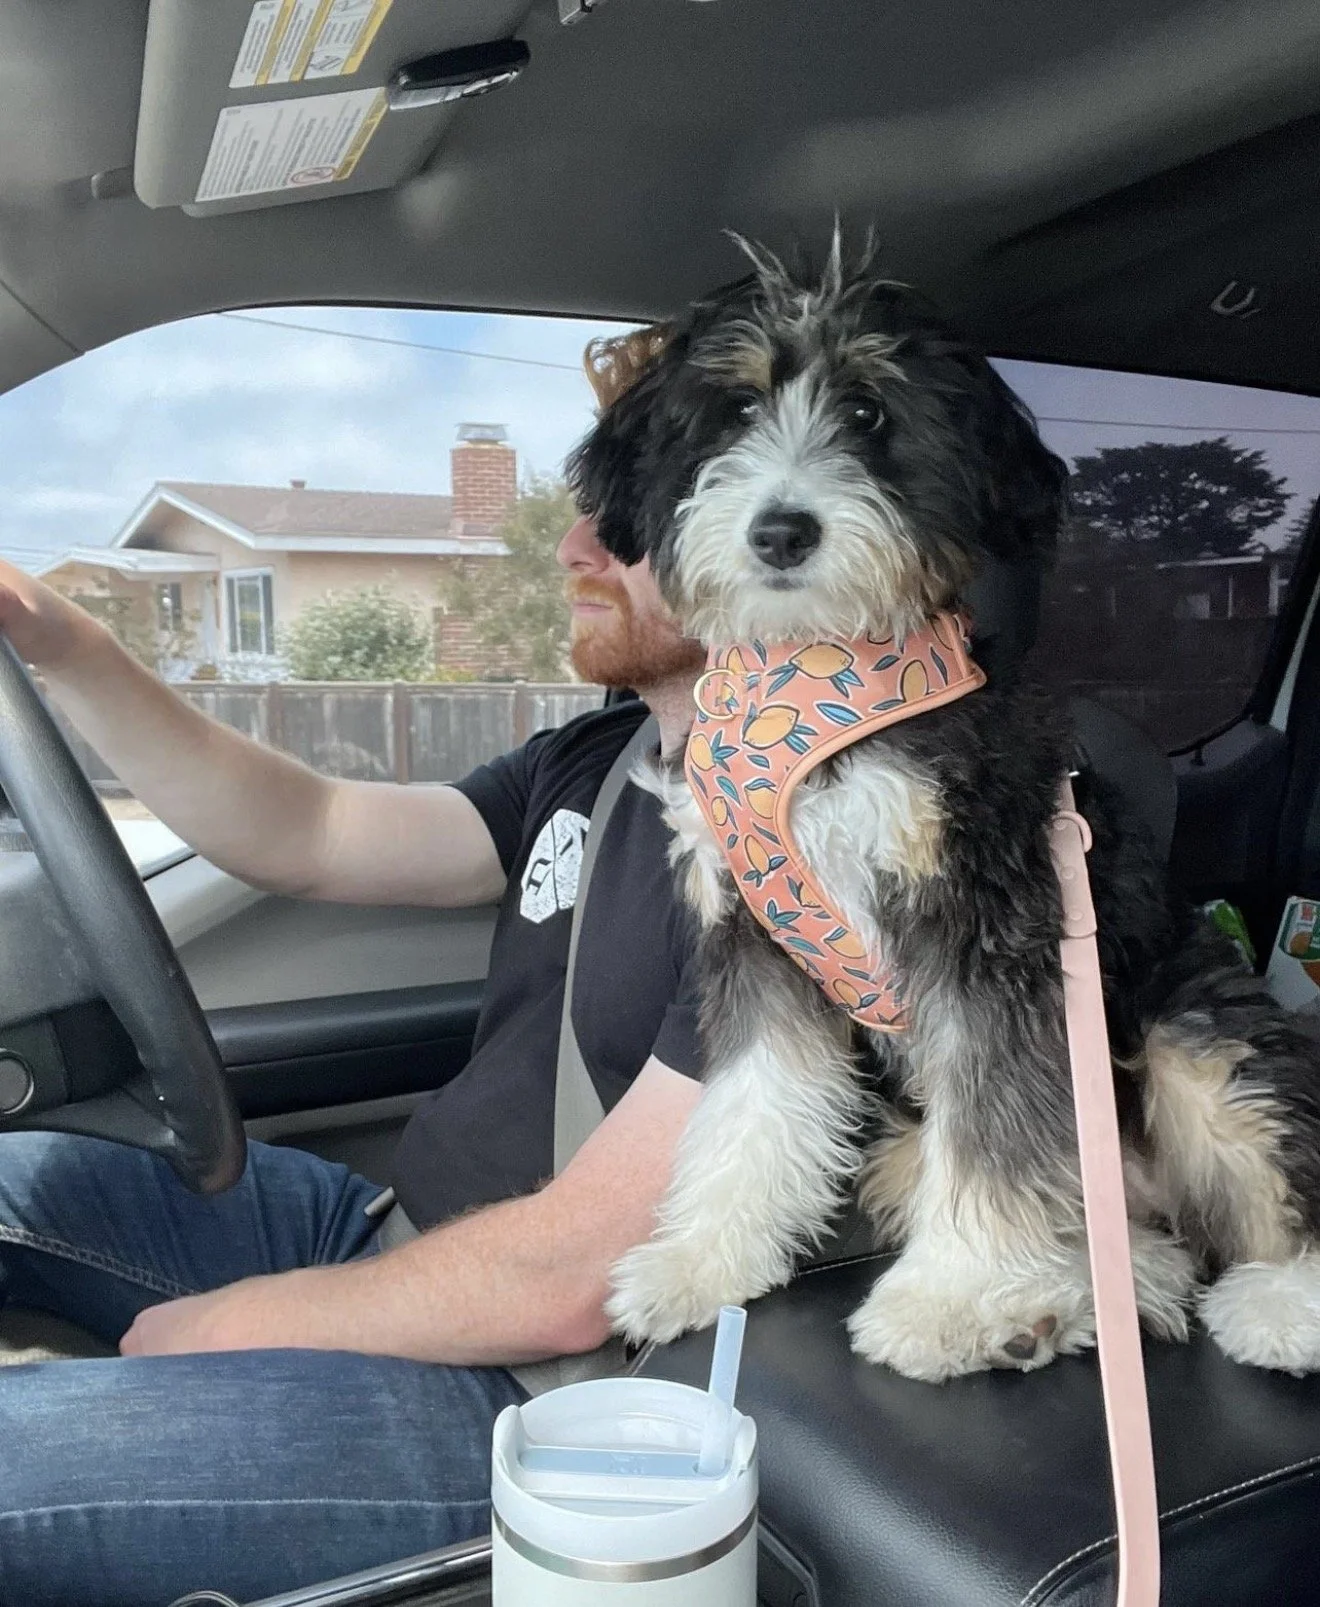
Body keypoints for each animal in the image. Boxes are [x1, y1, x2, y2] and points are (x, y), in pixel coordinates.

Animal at [567, 238, 1320, 1382]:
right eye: (734, 410)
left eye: (869, 412)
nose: (782, 532)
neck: (815, 672)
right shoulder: (757, 939)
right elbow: (751, 1103)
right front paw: (701, 1259)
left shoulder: (988, 925)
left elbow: (994, 1126)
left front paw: (945, 1302)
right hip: (913, 1136)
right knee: (1105, 1231)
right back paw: (1079, 1299)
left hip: (1194, 1038)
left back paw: (1266, 1304)